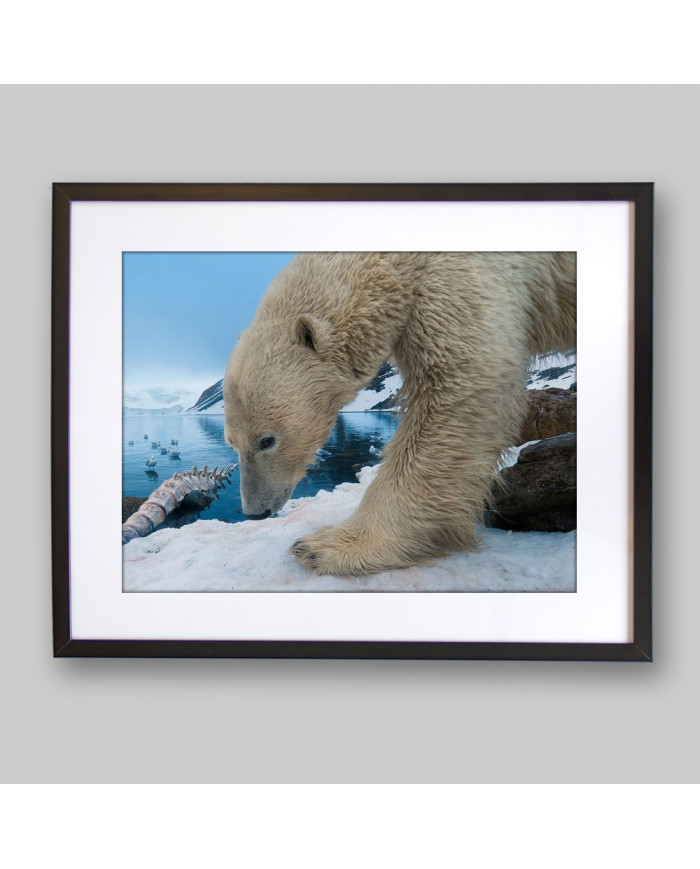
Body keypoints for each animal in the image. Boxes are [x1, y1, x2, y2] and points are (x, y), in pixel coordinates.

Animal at [223, 252, 576, 576]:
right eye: (233, 443)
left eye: (267, 440)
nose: (254, 512)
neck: (399, 260)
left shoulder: (465, 272)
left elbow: (460, 385)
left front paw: (328, 547)